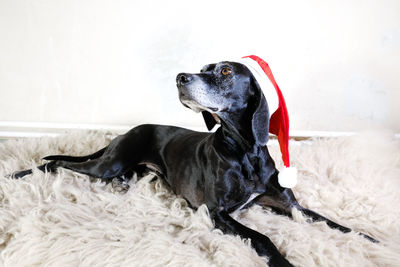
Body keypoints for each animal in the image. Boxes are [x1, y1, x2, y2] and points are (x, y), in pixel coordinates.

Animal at [10, 59, 376, 266]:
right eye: (202, 70)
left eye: (225, 70)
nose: (180, 77)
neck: (244, 150)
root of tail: (129, 131)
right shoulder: (217, 213)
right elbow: (262, 238)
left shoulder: (288, 204)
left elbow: (331, 222)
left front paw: (371, 240)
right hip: (107, 164)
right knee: (58, 165)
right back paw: (21, 172)